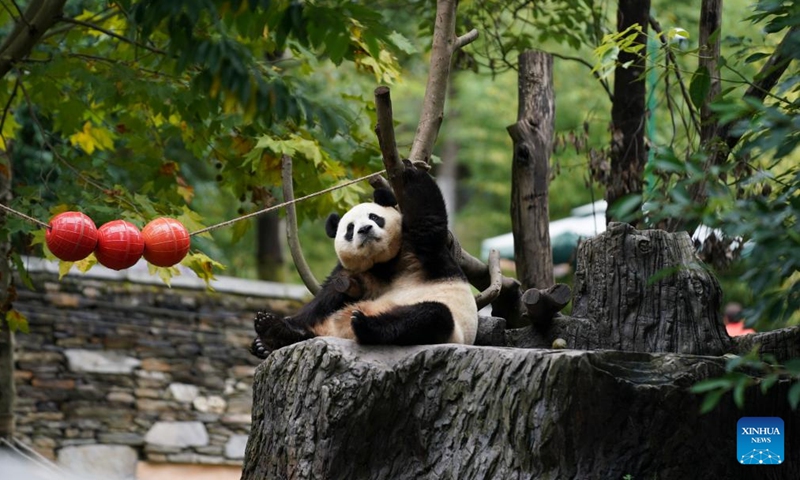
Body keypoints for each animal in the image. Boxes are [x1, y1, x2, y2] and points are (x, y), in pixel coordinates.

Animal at [250, 162, 476, 360]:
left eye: (374, 217)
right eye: (350, 228)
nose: (365, 229)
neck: (383, 262)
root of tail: (337, 333)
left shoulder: (421, 254)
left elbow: (428, 221)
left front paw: (411, 171)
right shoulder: (354, 274)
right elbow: (324, 298)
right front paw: (274, 329)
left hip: (450, 328)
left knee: (430, 316)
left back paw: (365, 325)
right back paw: (271, 334)